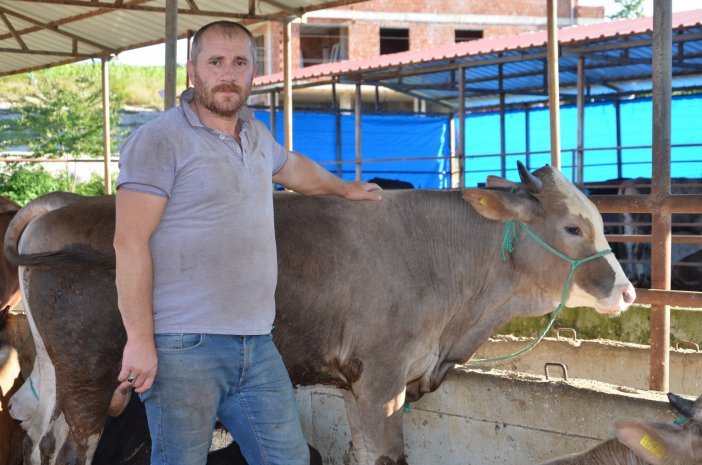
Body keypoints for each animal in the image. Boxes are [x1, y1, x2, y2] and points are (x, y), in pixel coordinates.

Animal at [4, 162, 640, 464]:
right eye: (573, 226)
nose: (629, 292)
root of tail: (55, 209)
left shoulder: (359, 386)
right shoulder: (383, 380)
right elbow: (388, 457)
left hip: (58, 380)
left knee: (38, 438)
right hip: (89, 378)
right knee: (71, 451)